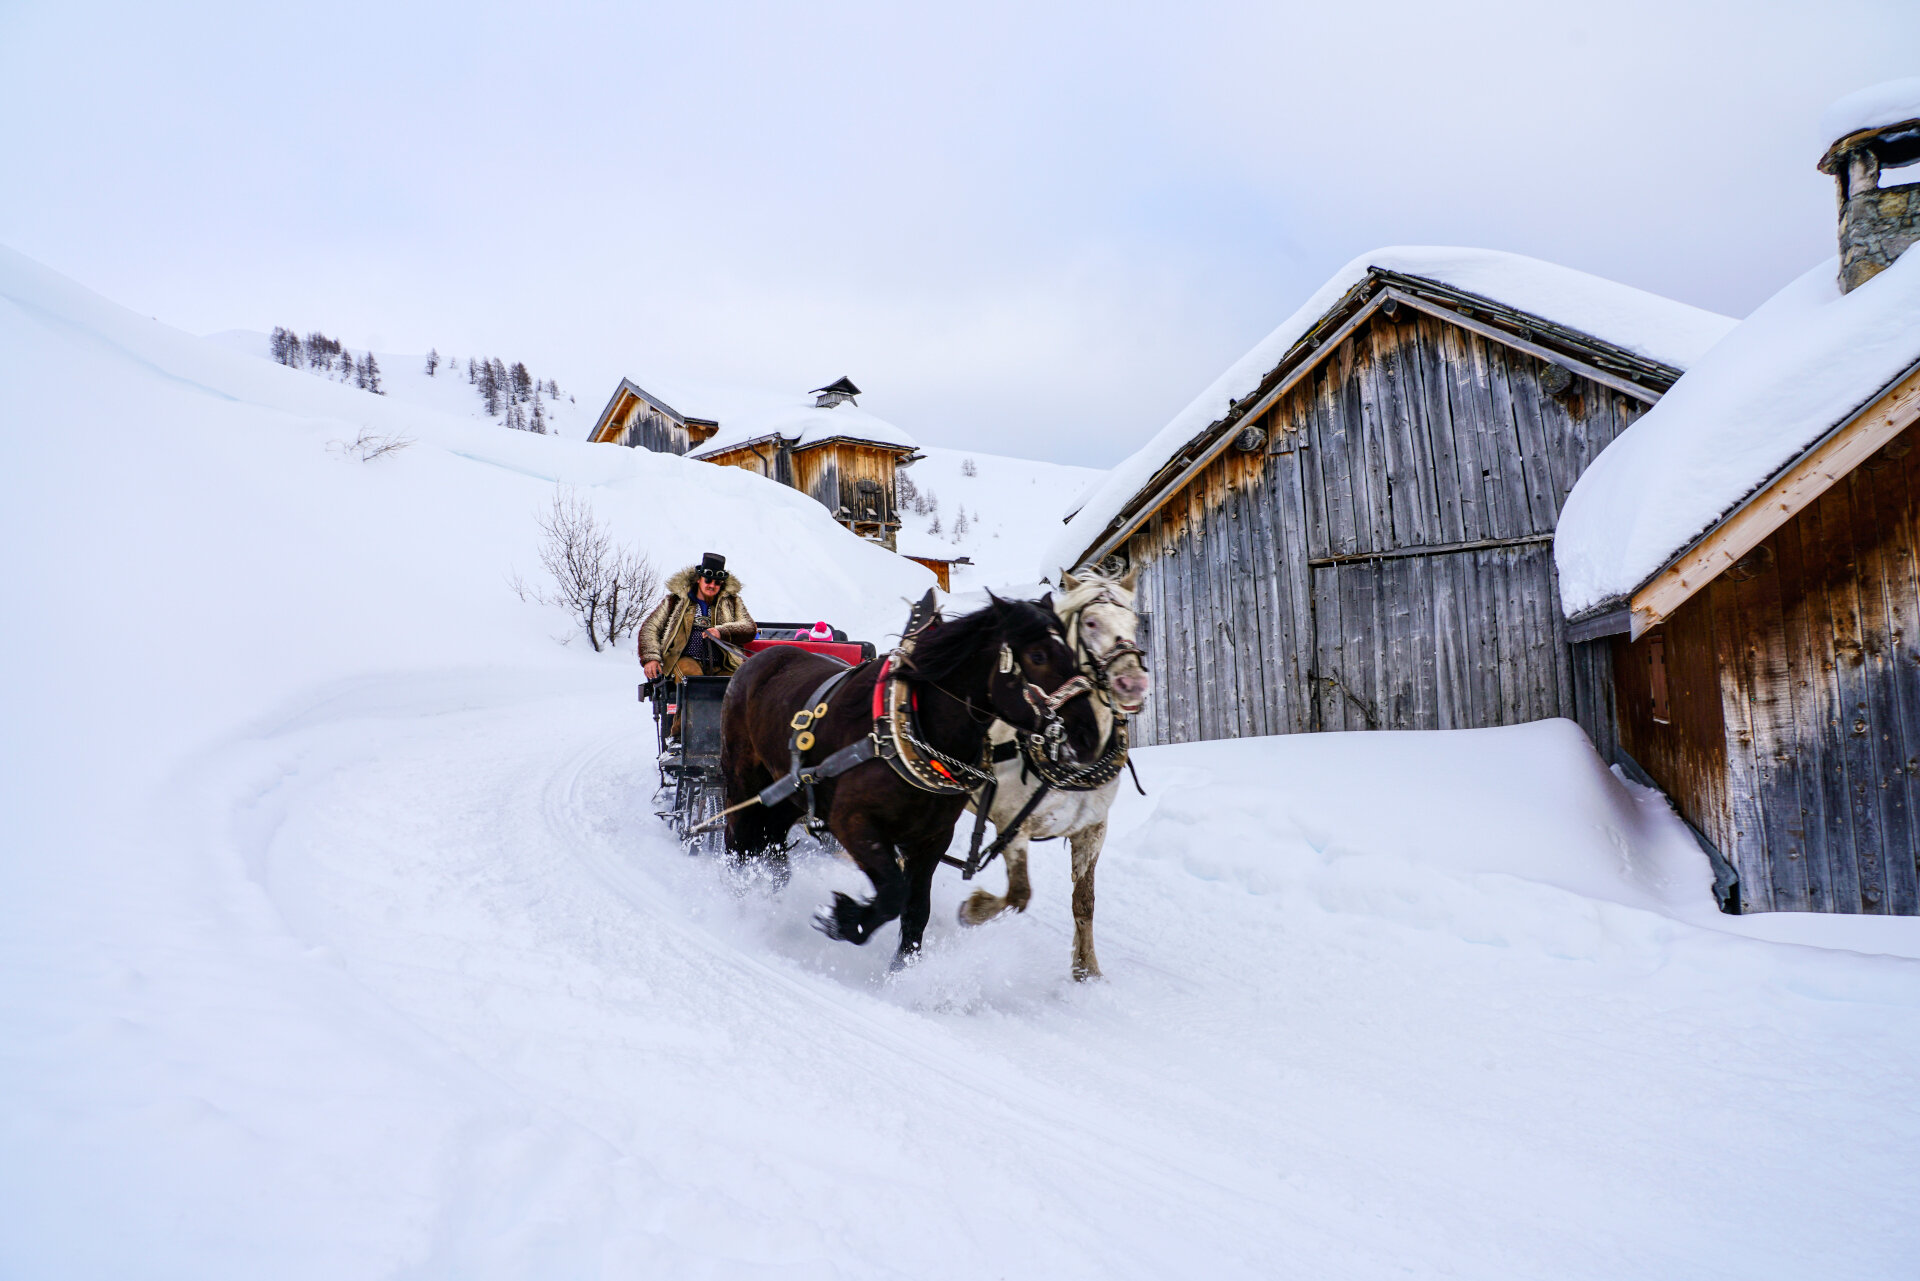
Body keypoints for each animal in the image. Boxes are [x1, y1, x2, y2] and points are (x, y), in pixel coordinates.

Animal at [721, 595, 1105, 967]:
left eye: (1073, 655)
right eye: (1037, 656)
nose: (1088, 735)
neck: (916, 731)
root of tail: (757, 660)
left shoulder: (931, 839)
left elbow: (916, 909)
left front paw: (900, 971)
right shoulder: (852, 822)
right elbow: (893, 893)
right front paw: (843, 920)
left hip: (788, 795)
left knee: (769, 847)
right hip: (742, 780)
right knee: (739, 844)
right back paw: (740, 908)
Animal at [952, 564, 1144, 975]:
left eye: (1135, 621)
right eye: (1091, 622)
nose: (1133, 684)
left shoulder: (1092, 830)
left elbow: (1084, 902)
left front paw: (1087, 969)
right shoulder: (1012, 826)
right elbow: (1019, 896)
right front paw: (974, 908)